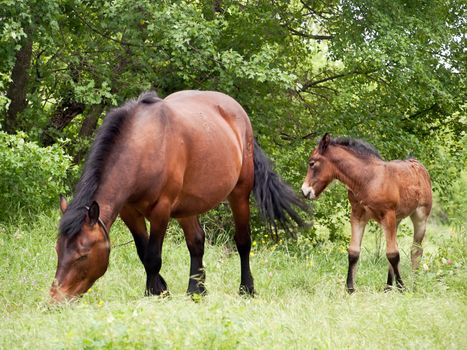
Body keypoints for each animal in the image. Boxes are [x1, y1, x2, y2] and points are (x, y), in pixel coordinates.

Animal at [51, 89, 306, 300]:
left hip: (239, 194)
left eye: (83, 255)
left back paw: (246, 289)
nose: (56, 298)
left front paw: (156, 293)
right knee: (196, 242)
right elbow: (143, 252)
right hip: (188, 206)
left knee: (243, 242)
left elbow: (153, 256)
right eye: (58, 250)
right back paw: (197, 290)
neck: (144, 147)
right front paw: (160, 289)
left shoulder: (161, 210)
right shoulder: (129, 212)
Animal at [302, 134, 434, 292]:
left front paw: (402, 288)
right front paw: (350, 288)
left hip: (419, 217)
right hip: (396, 220)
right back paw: (388, 287)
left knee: (415, 251)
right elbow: (354, 252)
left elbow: (393, 254)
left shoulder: (387, 214)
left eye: (312, 163)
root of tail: (418, 165)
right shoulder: (358, 216)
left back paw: (414, 285)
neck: (367, 179)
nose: (304, 191)